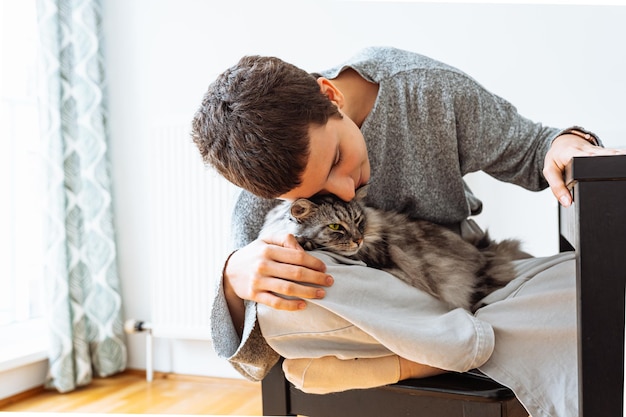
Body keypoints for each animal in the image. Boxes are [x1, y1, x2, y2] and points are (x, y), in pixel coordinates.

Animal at [260, 188, 528, 308]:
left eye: (358, 221)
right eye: (336, 226)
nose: (358, 239)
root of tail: (485, 253)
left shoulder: (375, 253)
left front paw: (304, 241)